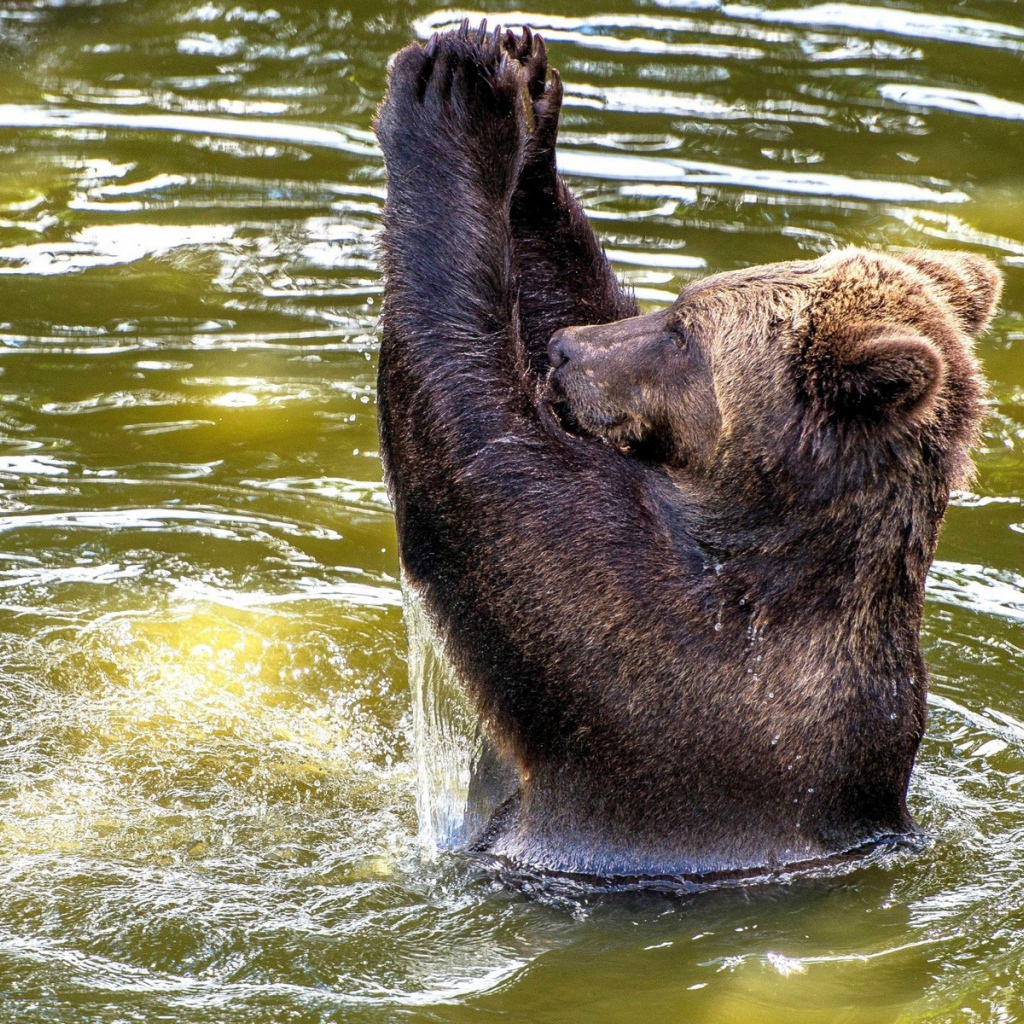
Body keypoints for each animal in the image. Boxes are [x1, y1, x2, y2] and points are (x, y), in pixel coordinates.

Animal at [374, 21, 1002, 882]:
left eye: (683, 333)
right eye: (675, 303)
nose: (567, 353)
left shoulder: (655, 661)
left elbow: (478, 461)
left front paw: (456, 97)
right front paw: (528, 98)